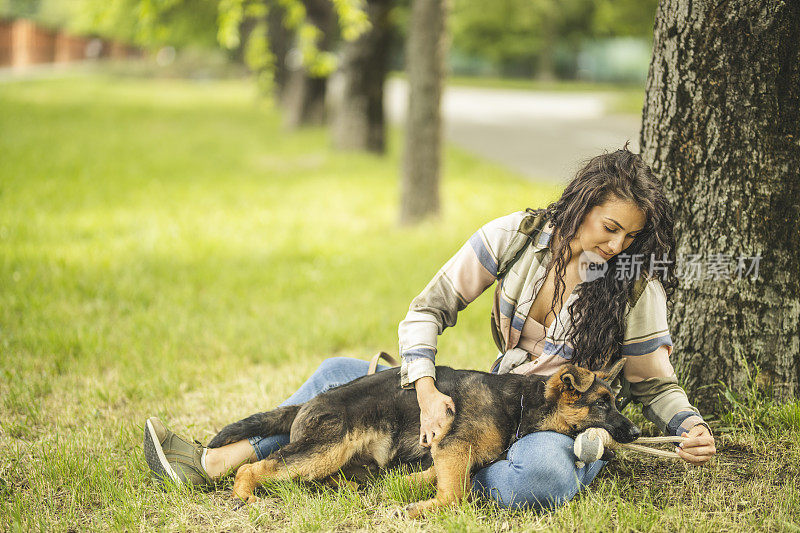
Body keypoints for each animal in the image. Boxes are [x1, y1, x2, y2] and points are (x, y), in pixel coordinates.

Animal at [209, 358, 640, 516]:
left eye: (616, 402)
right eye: (602, 405)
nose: (636, 432)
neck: (520, 405)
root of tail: (307, 404)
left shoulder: (451, 452)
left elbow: (438, 478)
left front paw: (411, 487)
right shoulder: (453, 446)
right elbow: (455, 496)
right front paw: (418, 508)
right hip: (322, 451)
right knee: (256, 468)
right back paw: (244, 496)